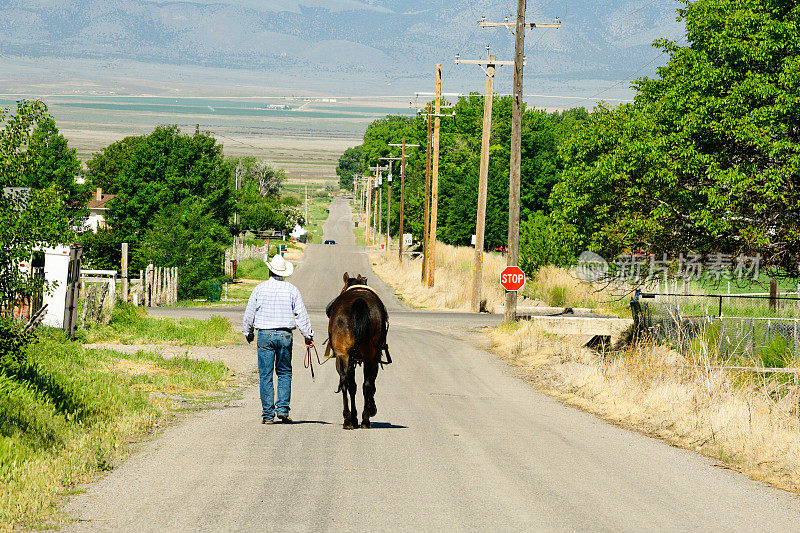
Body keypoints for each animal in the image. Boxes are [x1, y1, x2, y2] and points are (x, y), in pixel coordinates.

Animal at [324, 272, 390, 430]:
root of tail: (358, 301)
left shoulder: (348, 358)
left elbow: (352, 385)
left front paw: (353, 417)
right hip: (370, 357)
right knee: (367, 385)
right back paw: (365, 418)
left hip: (344, 356)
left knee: (346, 383)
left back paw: (348, 420)